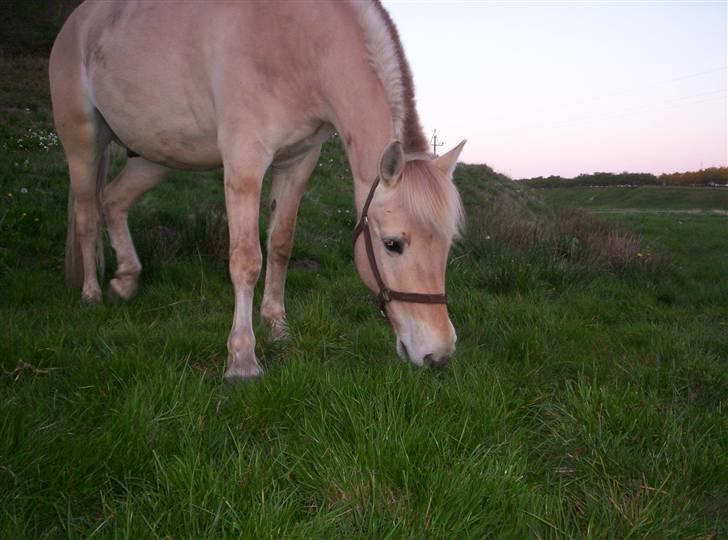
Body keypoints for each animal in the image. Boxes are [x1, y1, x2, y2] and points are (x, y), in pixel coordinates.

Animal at [49, 0, 466, 380]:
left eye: (447, 246)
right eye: (393, 244)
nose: (439, 354)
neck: (295, 43)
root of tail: (76, 21)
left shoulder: (298, 162)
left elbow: (280, 246)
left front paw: (277, 327)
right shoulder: (244, 162)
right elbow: (247, 259)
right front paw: (242, 358)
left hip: (155, 156)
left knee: (112, 200)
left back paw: (126, 280)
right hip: (83, 142)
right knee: (87, 215)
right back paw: (91, 294)